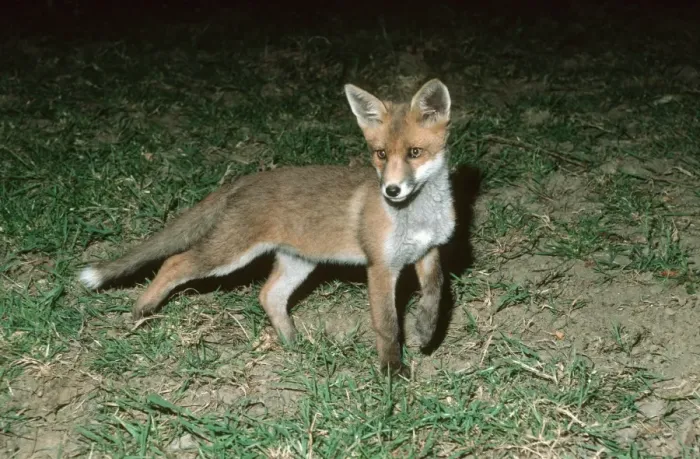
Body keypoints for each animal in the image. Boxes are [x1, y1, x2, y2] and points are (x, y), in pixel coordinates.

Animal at [79, 78, 456, 373]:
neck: (418, 216)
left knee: (268, 294)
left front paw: (425, 330)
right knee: (175, 262)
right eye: (380, 154)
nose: (391, 190)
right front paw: (392, 371)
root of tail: (247, 179)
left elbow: (436, 292)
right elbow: (387, 325)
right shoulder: (380, 266)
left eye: (414, 152)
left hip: (298, 262)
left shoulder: (428, 251)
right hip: (229, 254)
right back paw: (142, 310)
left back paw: (291, 341)